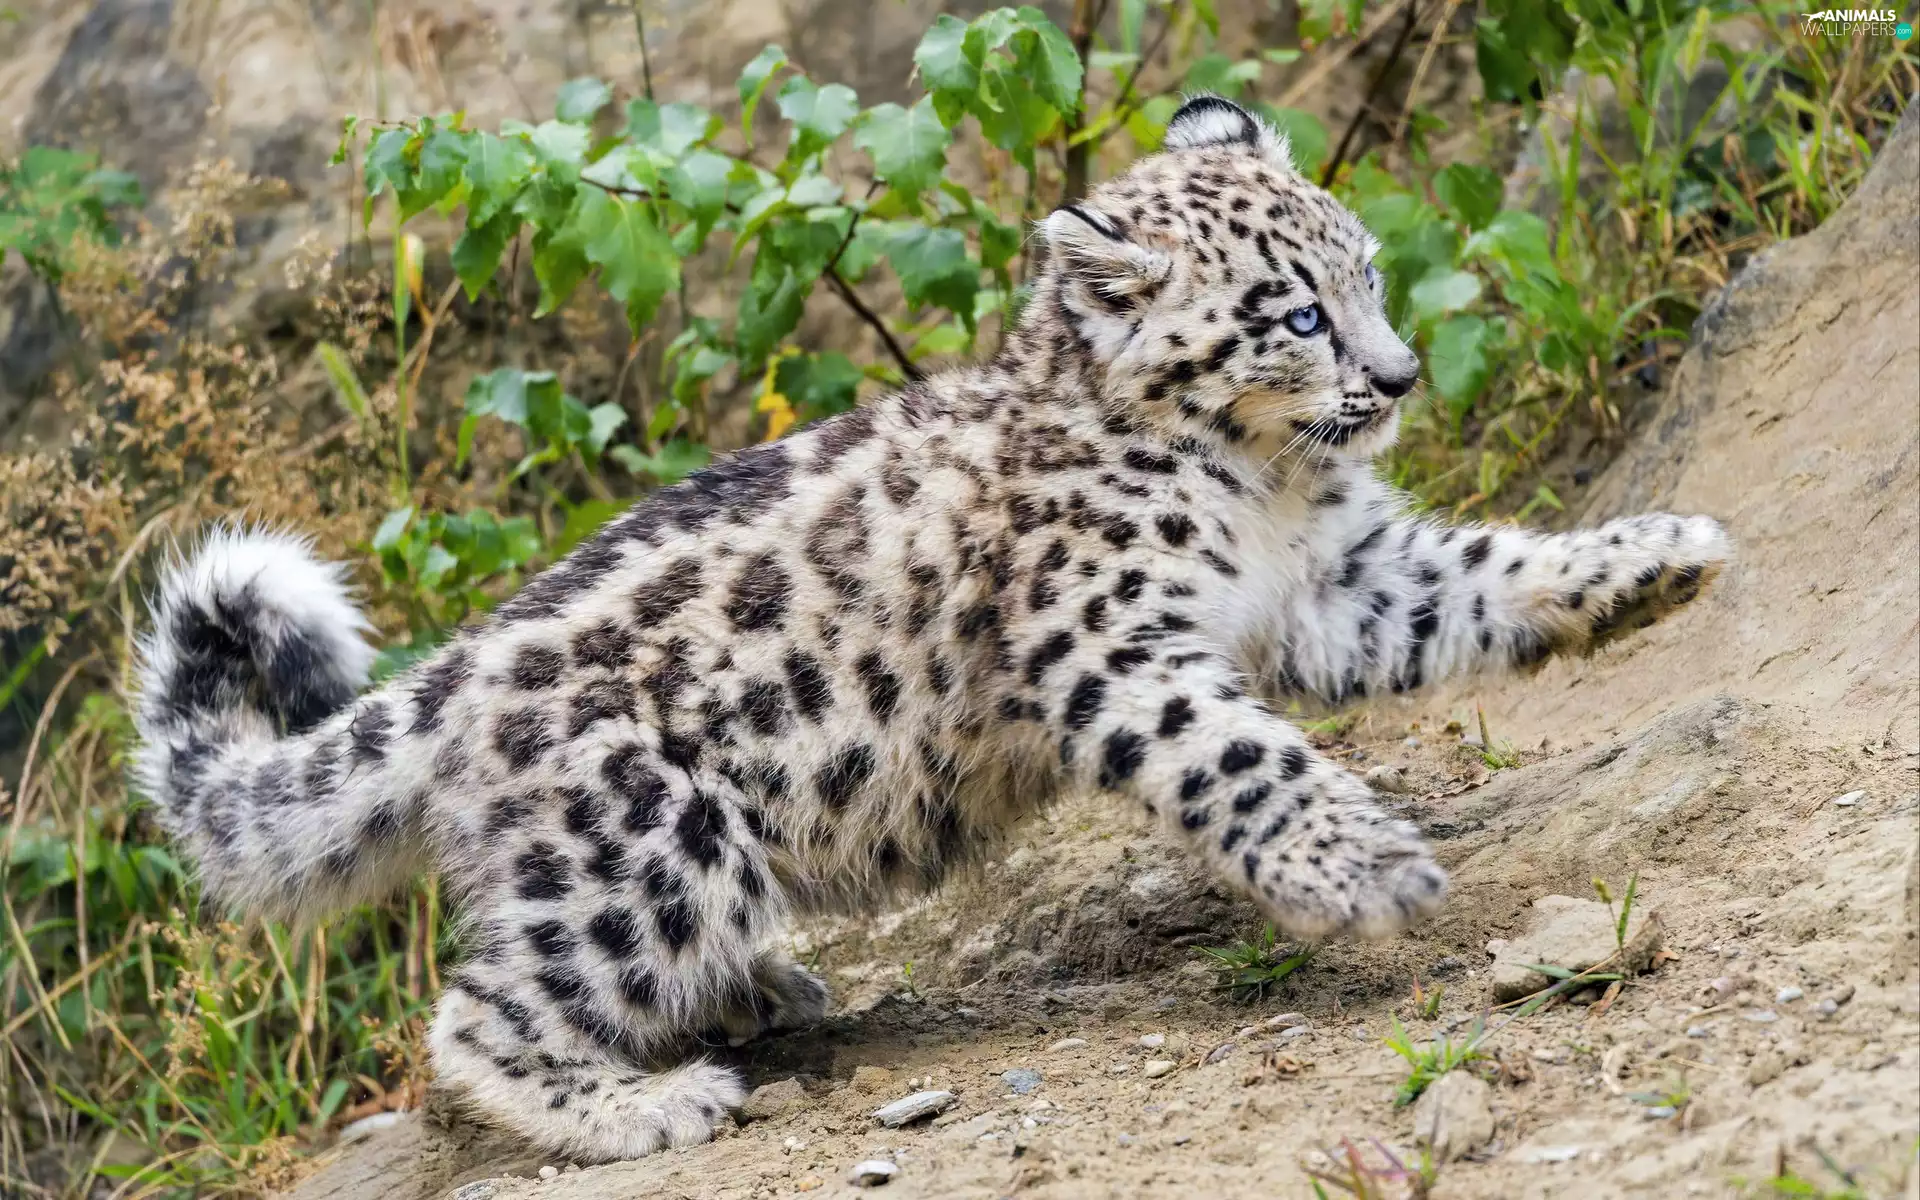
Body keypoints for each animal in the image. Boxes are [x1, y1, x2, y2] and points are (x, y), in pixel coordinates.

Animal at [130, 95, 1731, 1164]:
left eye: (1368, 273)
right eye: (1292, 315)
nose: (1396, 377)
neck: (1271, 491)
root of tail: (453, 677)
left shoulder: (1345, 582)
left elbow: (1481, 573)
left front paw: (1657, 559)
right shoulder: (1111, 651)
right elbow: (1244, 757)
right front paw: (1371, 870)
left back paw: (760, 995)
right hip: (644, 852)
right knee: (479, 1013)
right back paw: (649, 1102)